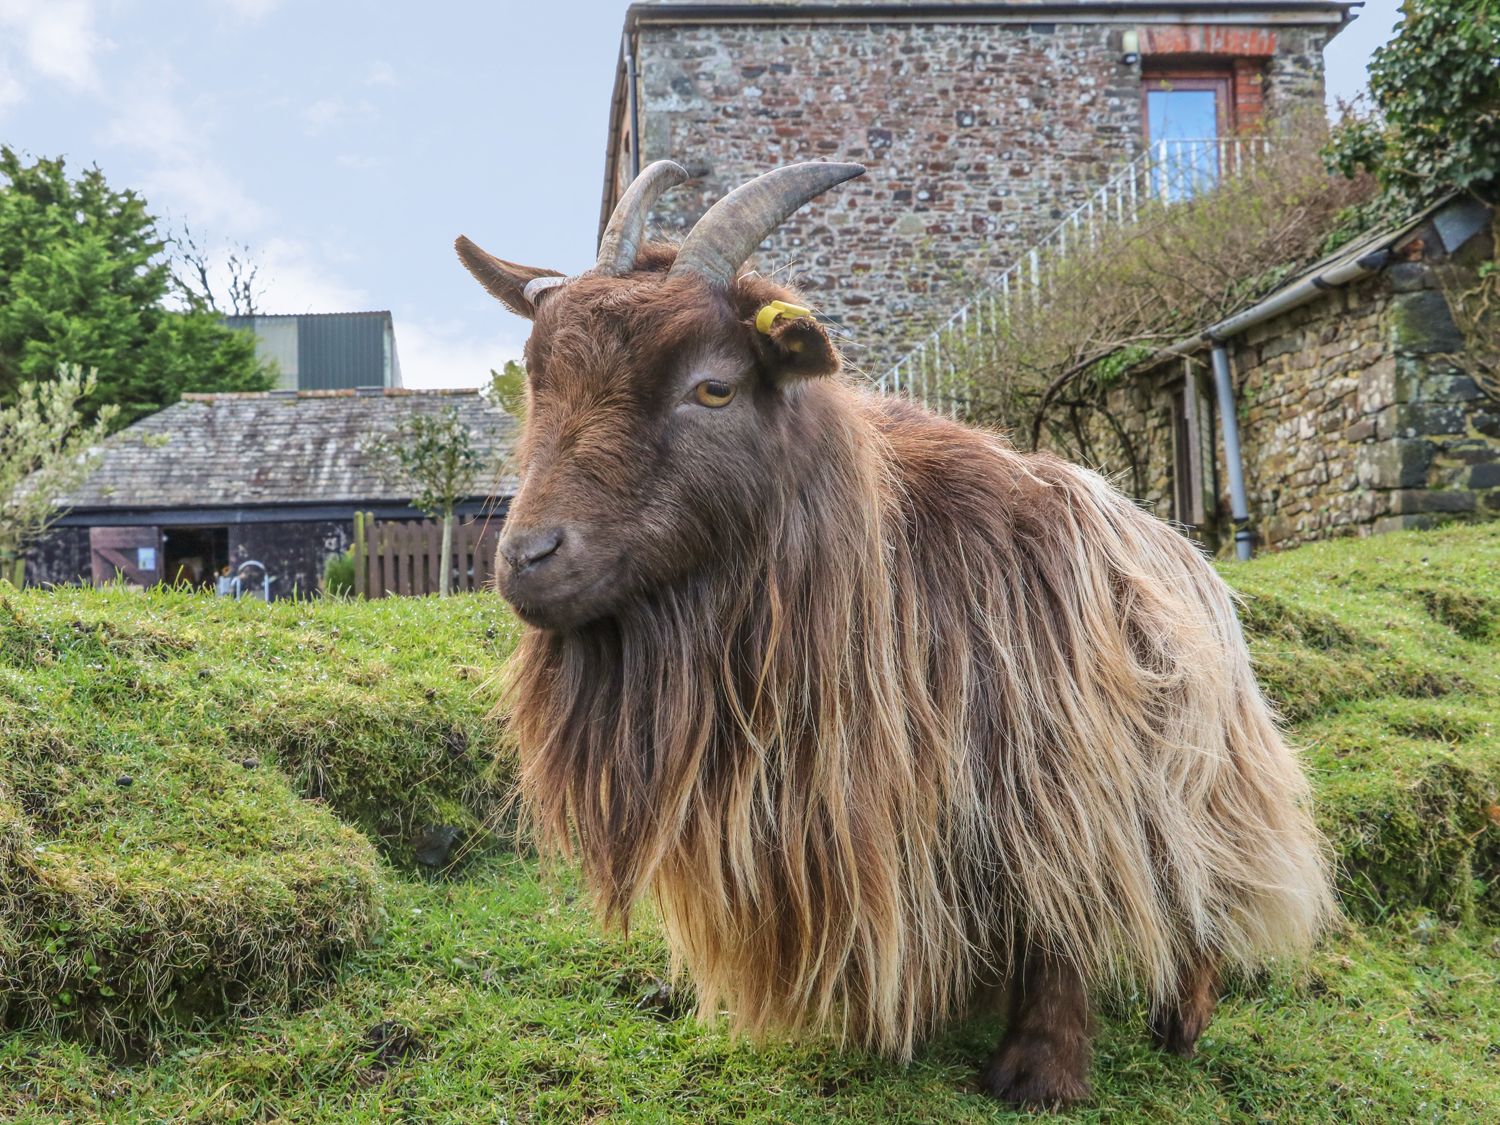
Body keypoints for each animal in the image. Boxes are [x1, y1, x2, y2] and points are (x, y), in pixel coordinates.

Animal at [456, 160, 1338, 1110]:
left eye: (714, 385)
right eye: (540, 378)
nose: (528, 559)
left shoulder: (1058, 773)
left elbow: (1062, 914)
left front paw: (1041, 1072)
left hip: (1203, 773)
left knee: (1199, 884)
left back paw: (1182, 1016)